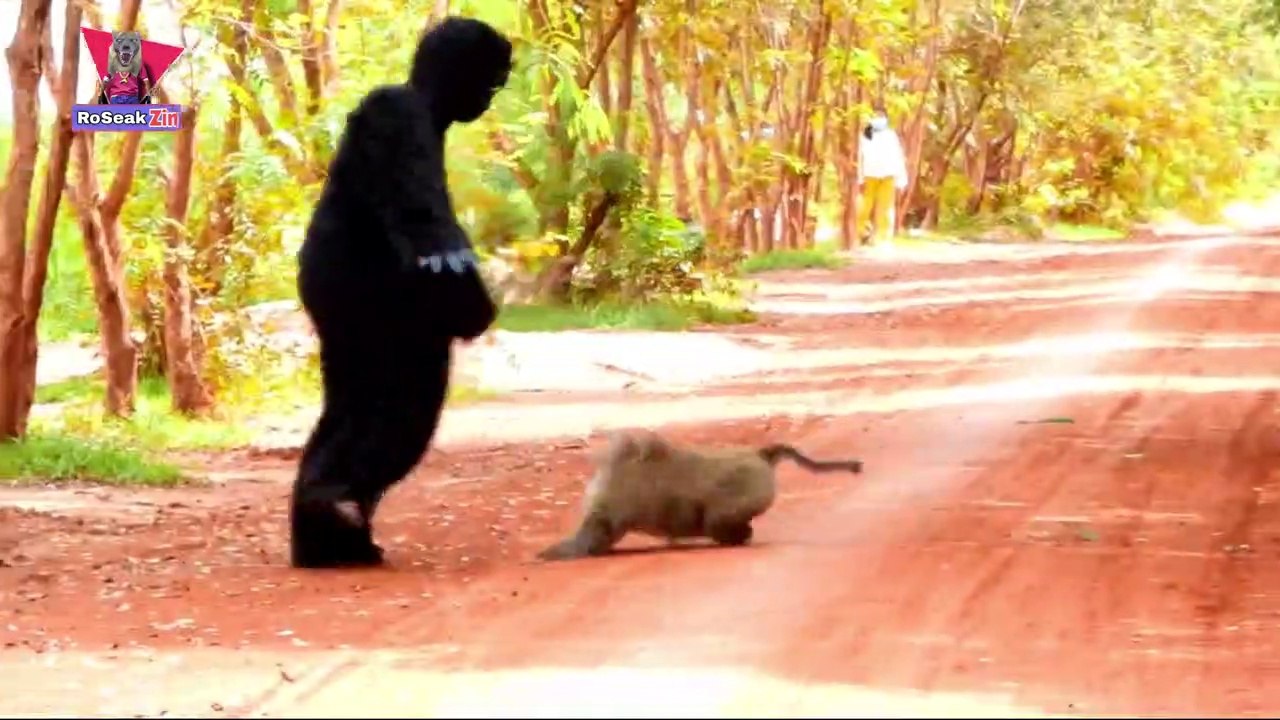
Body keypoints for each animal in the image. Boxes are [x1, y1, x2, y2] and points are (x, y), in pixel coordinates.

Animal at [536, 430, 864, 561]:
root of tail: (760, 455)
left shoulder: (605, 517)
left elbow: (590, 538)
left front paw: (554, 553)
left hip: (728, 510)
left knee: (723, 524)